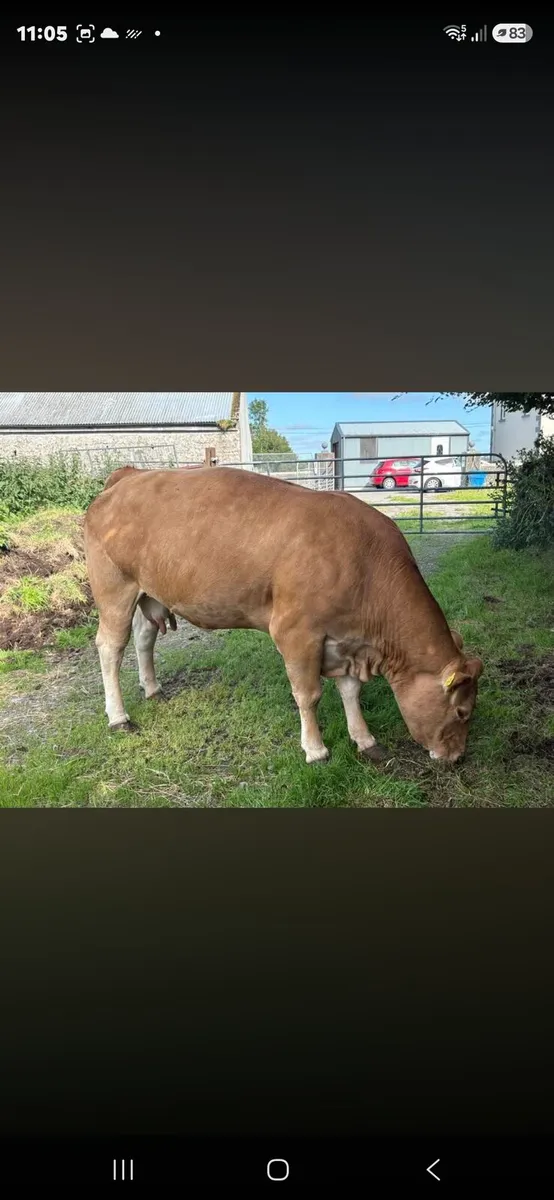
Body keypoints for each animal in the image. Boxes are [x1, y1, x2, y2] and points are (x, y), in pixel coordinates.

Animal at [84, 466, 483, 764]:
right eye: (462, 713)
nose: (457, 757)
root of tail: (129, 476)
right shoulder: (297, 633)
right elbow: (309, 694)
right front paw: (316, 750)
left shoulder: (346, 640)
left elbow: (350, 691)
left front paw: (365, 740)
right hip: (114, 587)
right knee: (109, 647)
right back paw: (118, 717)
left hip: (149, 591)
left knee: (144, 635)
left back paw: (152, 688)